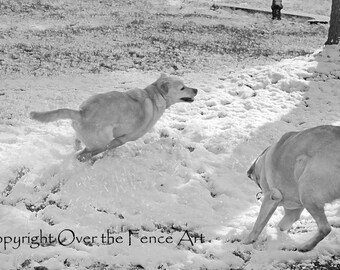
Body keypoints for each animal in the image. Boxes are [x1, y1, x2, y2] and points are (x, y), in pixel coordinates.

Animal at [31, 74, 198, 161]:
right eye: (182, 87)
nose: (196, 89)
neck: (155, 94)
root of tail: (81, 111)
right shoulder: (123, 139)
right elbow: (110, 147)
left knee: (78, 143)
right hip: (100, 141)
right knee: (85, 153)